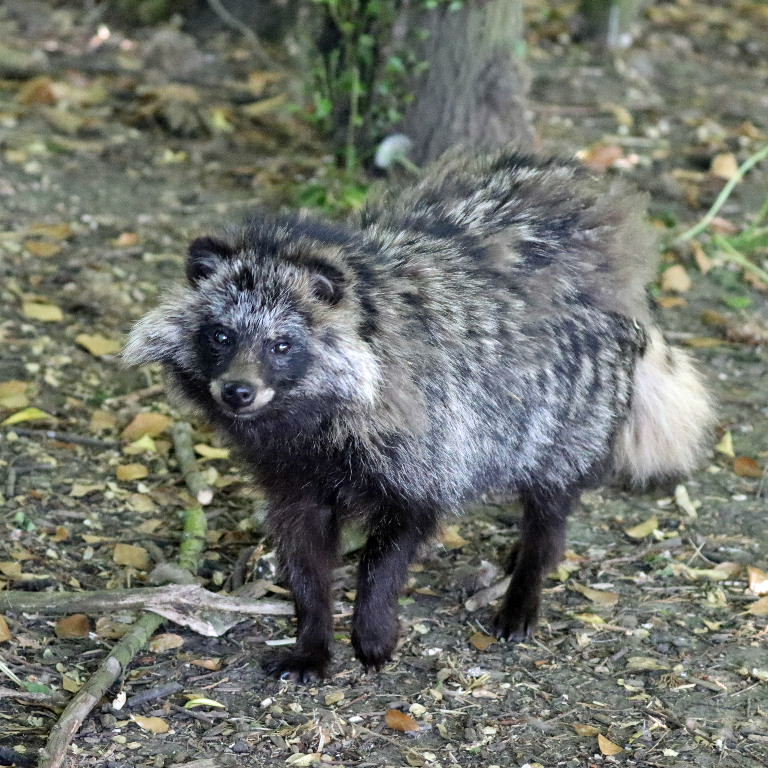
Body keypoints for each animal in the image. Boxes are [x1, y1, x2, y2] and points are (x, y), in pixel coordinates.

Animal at [124, 150, 715, 682]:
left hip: (570, 413)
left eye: (282, 344)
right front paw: (313, 637)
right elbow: (306, 562)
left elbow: (387, 557)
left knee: (550, 510)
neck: (307, 418)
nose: (237, 392)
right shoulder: (292, 478)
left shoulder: (427, 448)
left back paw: (526, 582)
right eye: (221, 336)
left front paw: (372, 629)